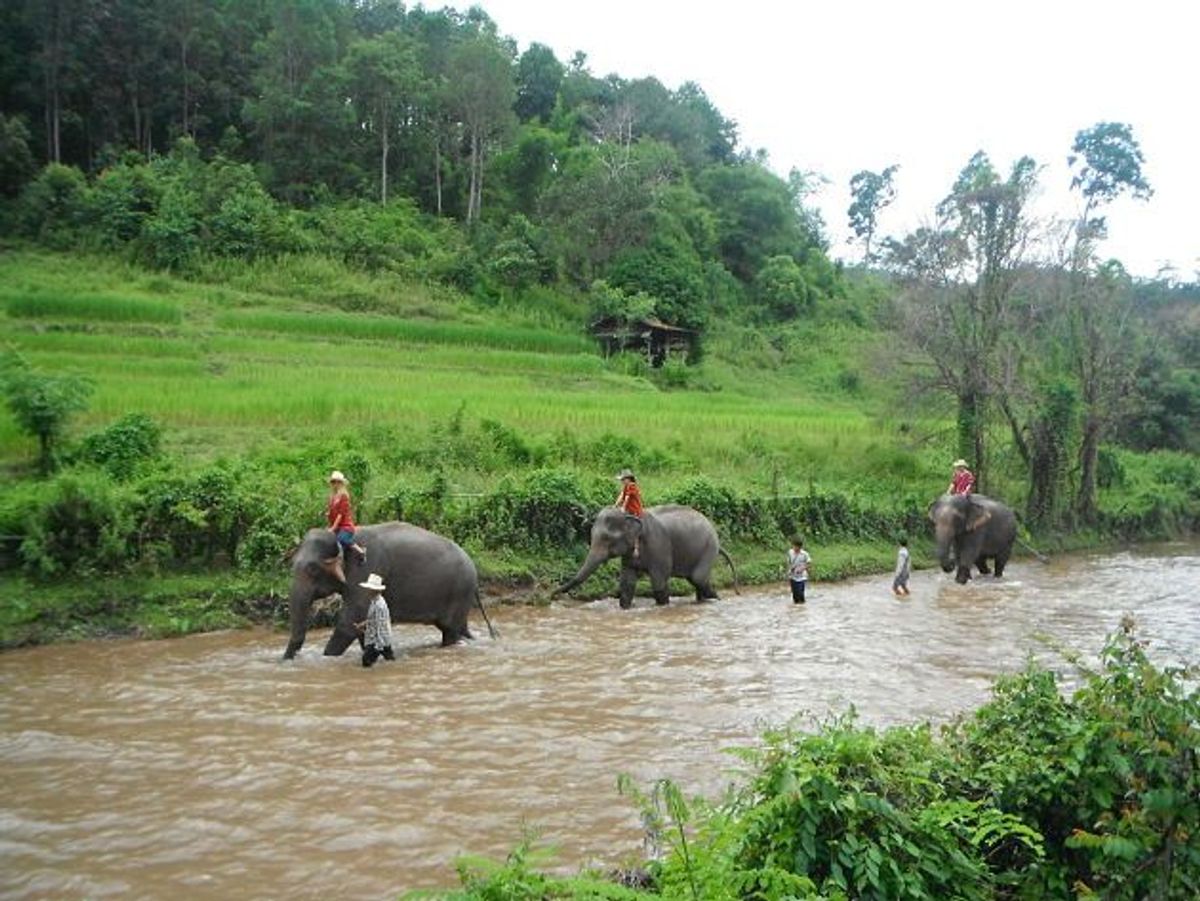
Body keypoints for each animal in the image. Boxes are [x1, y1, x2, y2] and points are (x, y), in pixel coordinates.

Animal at [282, 522, 494, 660]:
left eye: (312, 569)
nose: (286, 660)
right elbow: (363, 625)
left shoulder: (367, 568)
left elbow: (349, 622)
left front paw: (327, 659)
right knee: (458, 629)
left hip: (459, 592)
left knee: (451, 631)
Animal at [554, 504, 738, 607]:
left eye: (607, 539)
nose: (552, 594)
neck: (630, 514)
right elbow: (627, 584)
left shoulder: (659, 546)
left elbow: (658, 583)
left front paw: (662, 607)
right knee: (698, 582)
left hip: (708, 548)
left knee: (698, 579)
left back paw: (717, 600)